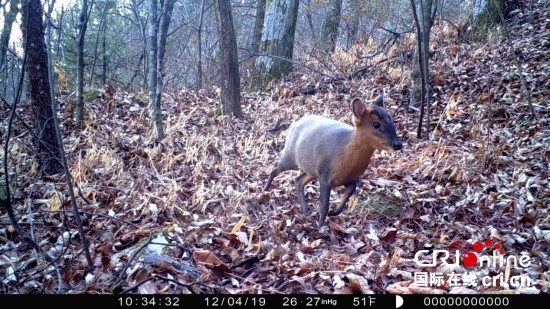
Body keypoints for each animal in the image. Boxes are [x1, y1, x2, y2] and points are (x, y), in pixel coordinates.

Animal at [266, 95, 404, 227]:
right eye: (376, 124)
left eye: (391, 120)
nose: (398, 144)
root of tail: (293, 124)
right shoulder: (325, 177)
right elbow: (323, 206)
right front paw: (320, 227)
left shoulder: (348, 178)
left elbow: (349, 193)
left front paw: (333, 212)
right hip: (291, 157)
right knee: (275, 167)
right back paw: (266, 189)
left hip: (312, 169)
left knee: (298, 180)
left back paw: (305, 211)